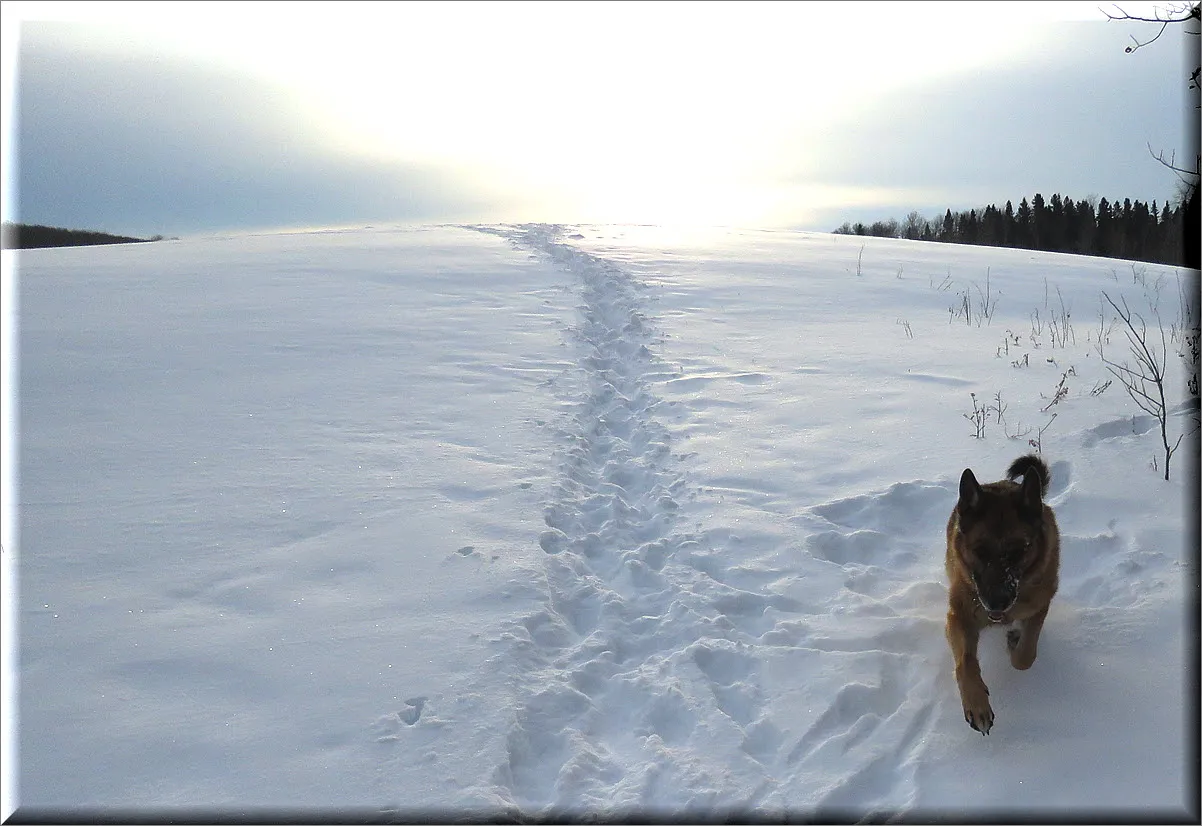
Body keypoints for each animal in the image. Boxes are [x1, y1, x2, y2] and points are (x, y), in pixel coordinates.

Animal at [942, 452, 1057, 735]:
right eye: (980, 551)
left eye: (1019, 551)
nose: (997, 603)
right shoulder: (958, 616)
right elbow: (965, 662)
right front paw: (977, 705)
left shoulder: (1040, 605)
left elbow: (1026, 656)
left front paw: (1016, 642)